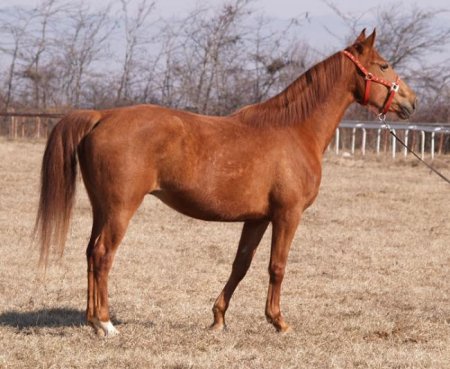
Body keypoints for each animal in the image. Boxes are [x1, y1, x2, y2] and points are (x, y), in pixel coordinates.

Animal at [36, 28, 418, 334]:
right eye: (384, 65)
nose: (411, 102)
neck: (295, 130)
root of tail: (102, 116)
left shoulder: (258, 218)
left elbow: (241, 265)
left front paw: (218, 318)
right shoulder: (287, 215)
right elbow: (277, 267)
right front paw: (279, 322)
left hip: (101, 208)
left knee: (90, 253)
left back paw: (92, 320)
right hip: (120, 209)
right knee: (103, 254)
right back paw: (105, 323)